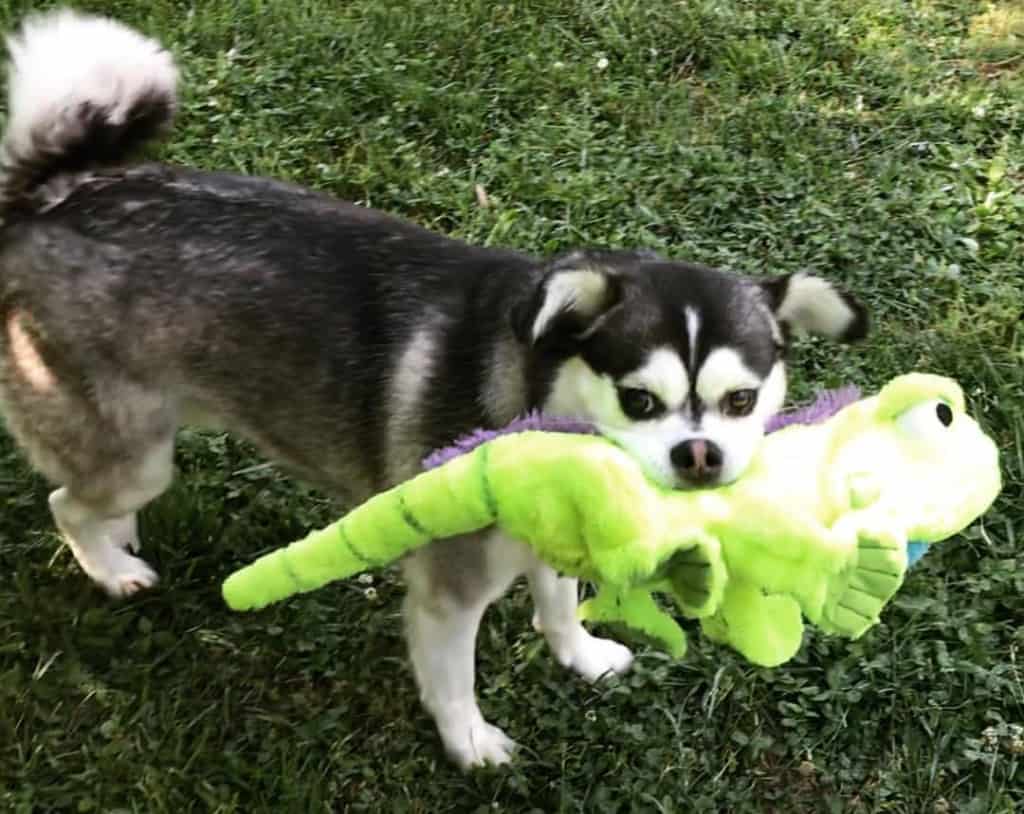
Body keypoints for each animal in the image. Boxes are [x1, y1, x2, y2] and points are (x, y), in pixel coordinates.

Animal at [0, 9, 868, 765]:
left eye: (741, 401)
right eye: (639, 401)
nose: (699, 458)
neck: (541, 394)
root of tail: (50, 204)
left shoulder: (554, 540)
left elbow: (558, 603)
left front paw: (580, 655)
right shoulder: (450, 588)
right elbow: (453, 678)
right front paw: (470, 744)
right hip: (134, 450)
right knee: (67, 501)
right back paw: (109, 566)